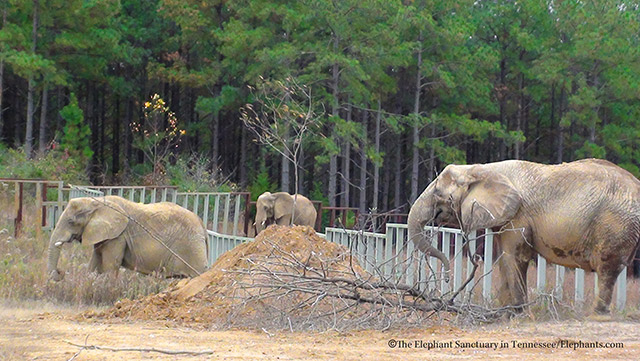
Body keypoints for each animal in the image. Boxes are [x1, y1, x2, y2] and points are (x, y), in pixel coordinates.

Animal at [47, 195, 208, 280]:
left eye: (71, 221)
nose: (60, 271)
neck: (98, 202)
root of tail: (201, 223)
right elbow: (95, 261)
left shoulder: (118, 236)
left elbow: (110, 266)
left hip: (193, 248)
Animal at [408, 158, 640, 312]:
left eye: (437, 193)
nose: (447, 278)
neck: (483, 169)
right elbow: (503, 259)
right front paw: (502, 312)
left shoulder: (519, 215)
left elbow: (515, 257)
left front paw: (516, 312)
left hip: (615, 224)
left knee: (606, 267)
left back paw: (596, 314)